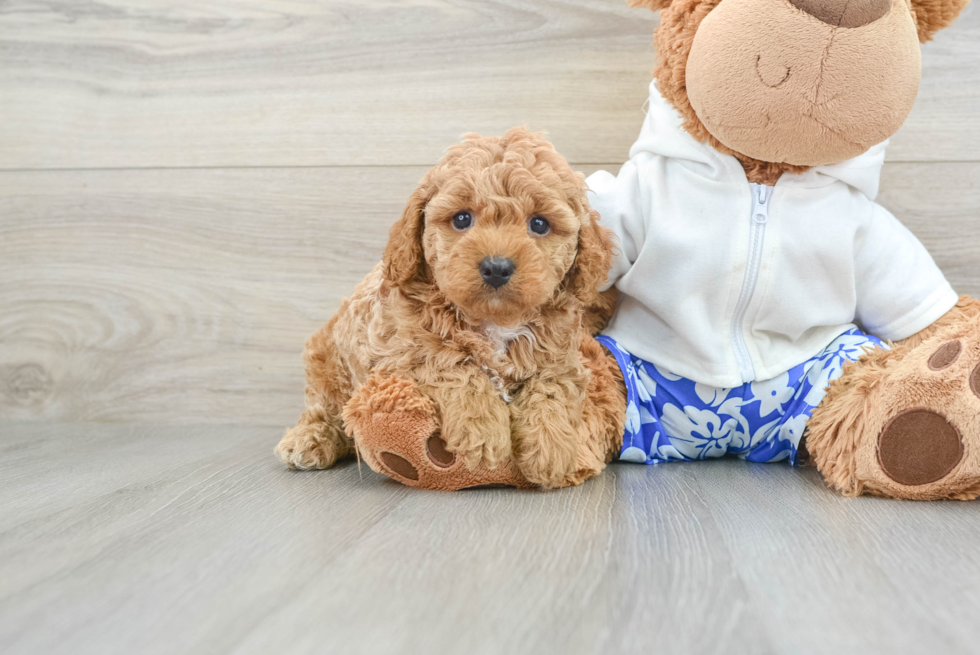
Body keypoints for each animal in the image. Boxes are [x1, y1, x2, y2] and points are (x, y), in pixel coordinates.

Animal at [274, 127, 628, 486]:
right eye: (461, 219)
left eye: (539, 224)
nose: (496, 267)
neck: (495, 321)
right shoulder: (398, 351)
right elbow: (453, 364)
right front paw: (482, 430)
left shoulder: (563, 356)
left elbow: (553, 386)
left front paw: (550, 449)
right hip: (329, 367)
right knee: (325, 410)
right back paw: (308, 440)